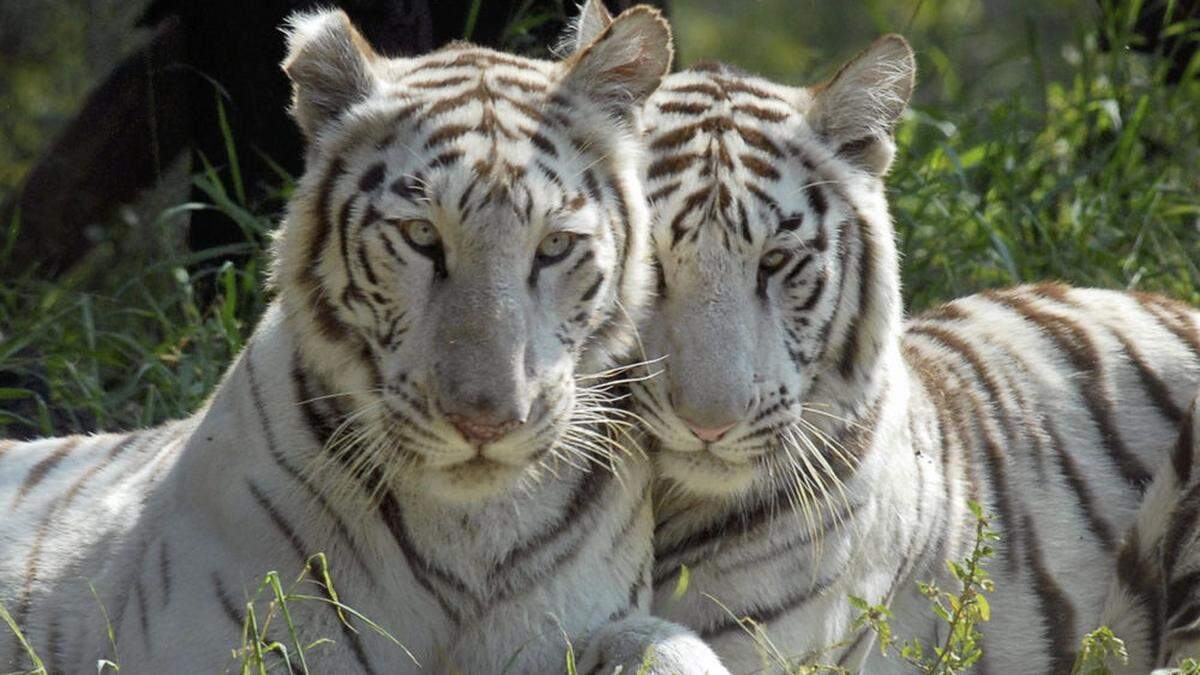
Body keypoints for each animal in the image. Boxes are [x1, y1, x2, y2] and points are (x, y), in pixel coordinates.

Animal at [0, 6, 724, 672]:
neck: (471, 530)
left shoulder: (574, 630)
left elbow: (670, 646)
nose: (486, 423)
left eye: (553, 246)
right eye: (422, 236)